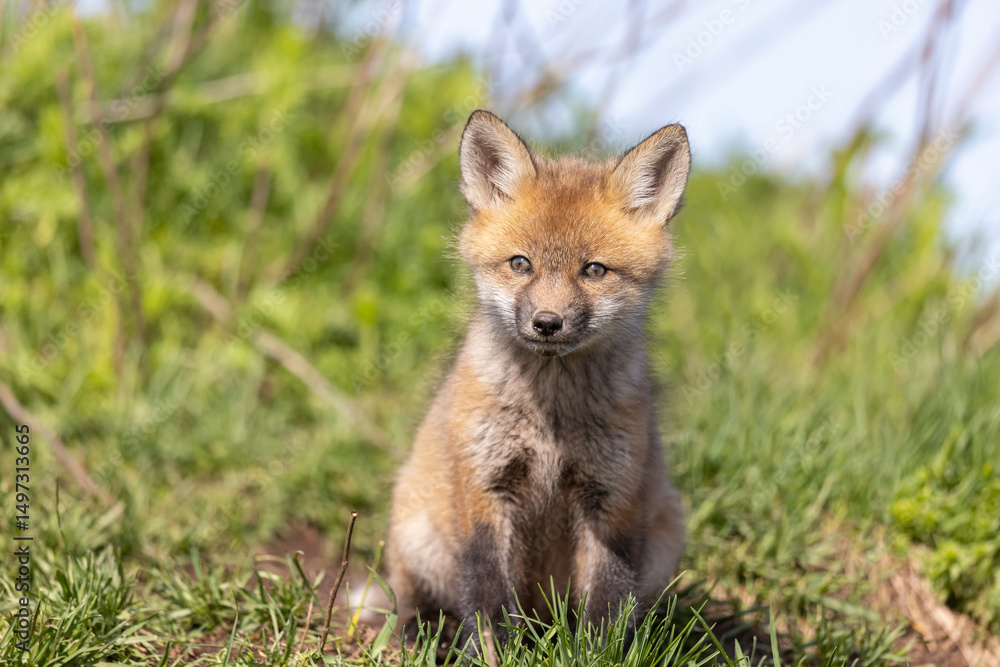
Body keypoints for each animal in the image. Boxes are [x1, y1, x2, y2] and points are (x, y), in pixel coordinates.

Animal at [386, 109, 691, 650]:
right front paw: (493, 653)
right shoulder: (485, 489)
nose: (547, 323)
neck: (551, 417)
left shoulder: (612, 497)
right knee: (411, 601)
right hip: (417, 536)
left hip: (667, 533)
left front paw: (598, 654)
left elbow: (608, 600)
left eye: (594, 270)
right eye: (520, 264)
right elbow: (488, 595)